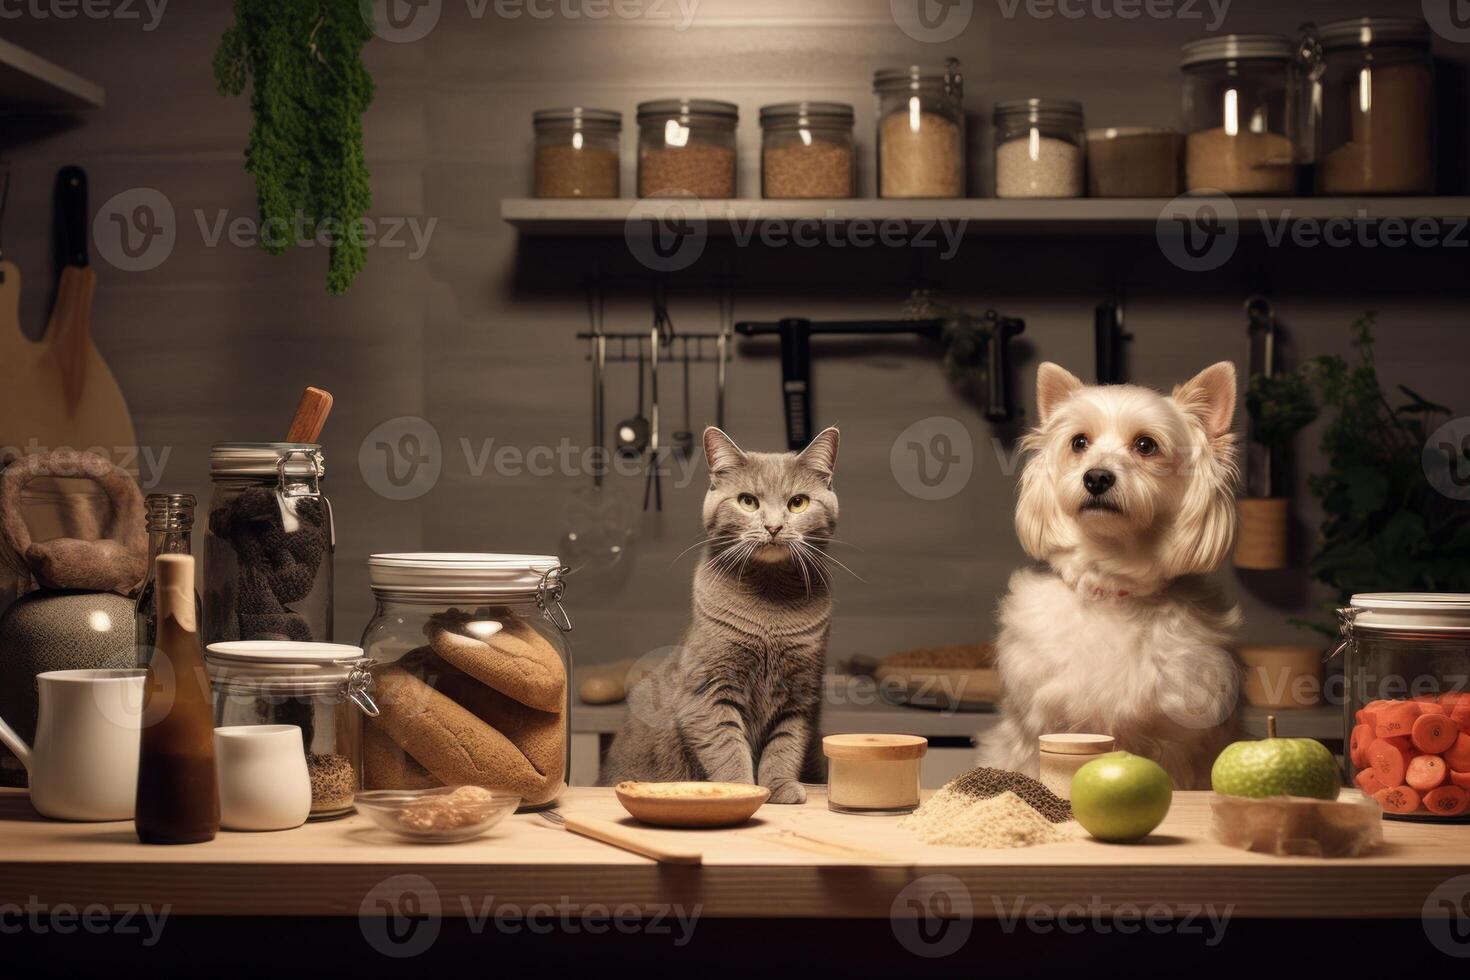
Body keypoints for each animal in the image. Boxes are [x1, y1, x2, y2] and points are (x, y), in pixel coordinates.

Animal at [596, 426, 846, 799]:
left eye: (798, 502)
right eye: (748, 501)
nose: (773, 527)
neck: (769, 605)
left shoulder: (800, 694)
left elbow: (785, 745)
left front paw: (780, 786)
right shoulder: (708, 693)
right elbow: (727, 747)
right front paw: (740, 790)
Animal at [981, 364, 1246, 793]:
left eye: (1146, 445)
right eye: (1079, 442)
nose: (1097, 478)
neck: (1112, 586)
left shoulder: (1177, 748)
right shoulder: (1036, 730)